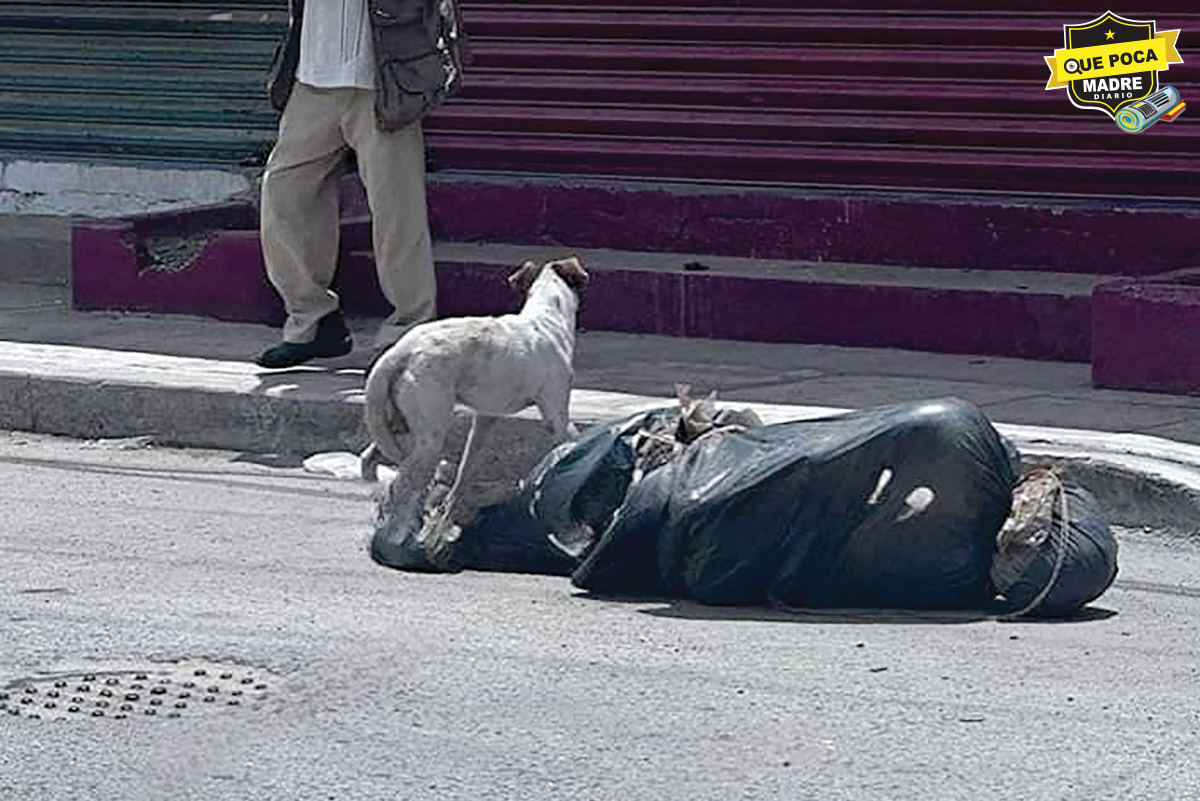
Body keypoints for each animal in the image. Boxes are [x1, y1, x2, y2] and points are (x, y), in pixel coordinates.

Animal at [364, 256, 590, 568]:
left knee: (372, 461)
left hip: (395, 424)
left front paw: (446, 518)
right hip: (430, 437)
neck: (546, 316)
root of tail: (399, 351)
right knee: (402, 484)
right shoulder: (556, 416)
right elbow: (573, 440)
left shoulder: (485, 418)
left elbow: (464, 472)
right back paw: (401, 538)